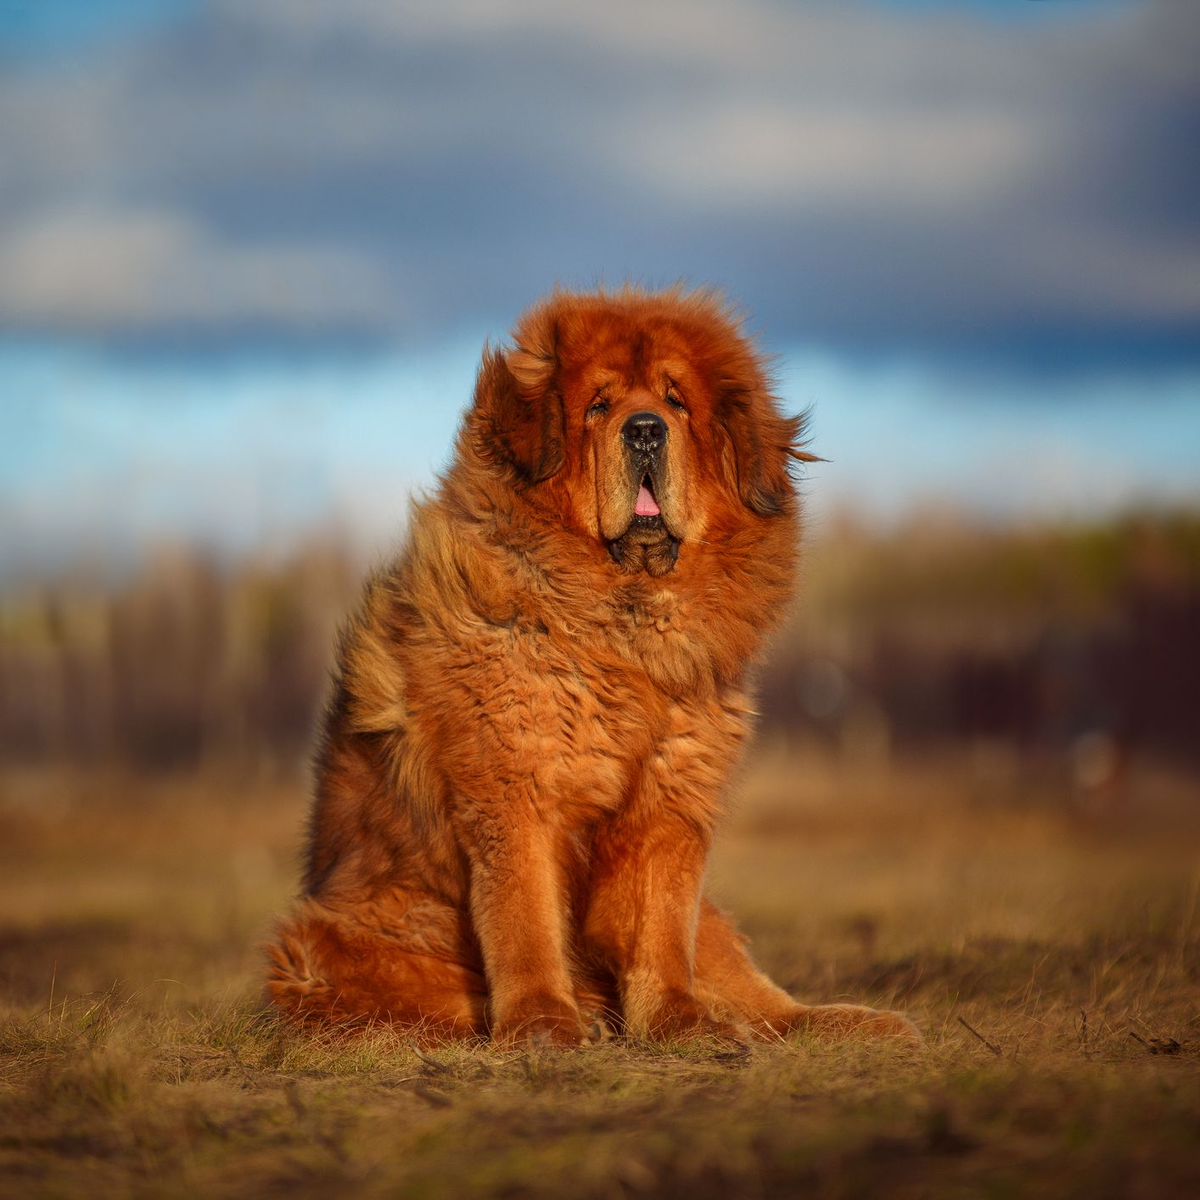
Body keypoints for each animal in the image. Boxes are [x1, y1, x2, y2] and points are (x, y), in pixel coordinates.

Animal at [267, 285, 912, 1046]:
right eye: (599, 407)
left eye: (676, 402)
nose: (645, 431)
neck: (621, 632)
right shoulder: (516, 792)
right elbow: (526, 920)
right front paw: (544, 1023)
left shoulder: (669, 802)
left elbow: (660, 928)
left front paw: (678, 1022)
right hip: (331, 940)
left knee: (763, 999)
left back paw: (851, 1023)